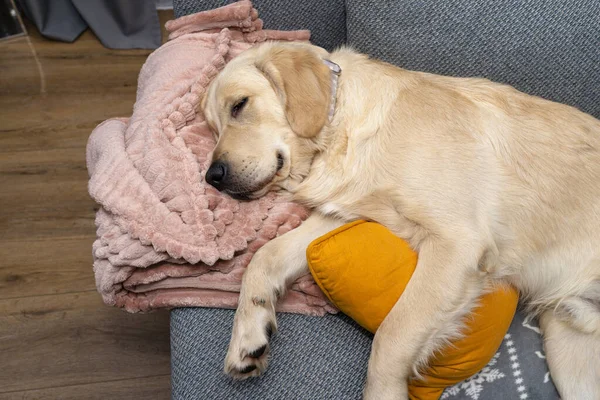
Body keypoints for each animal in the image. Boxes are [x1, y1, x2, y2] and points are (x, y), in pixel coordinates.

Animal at [202, 42, 600, 398]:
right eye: (212, 128)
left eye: (240, 105)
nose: (212, 177)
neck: (344, 129)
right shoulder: (342, 217)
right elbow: (263, 257)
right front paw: (248, 335)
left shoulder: (457, 244)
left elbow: (391, 337)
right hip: (569, 355)